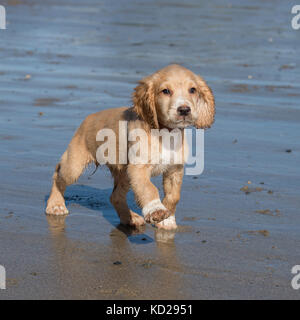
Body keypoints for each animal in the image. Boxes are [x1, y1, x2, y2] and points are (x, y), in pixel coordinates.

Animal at [45, 65, 214, 230]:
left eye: (193, 90)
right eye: (165, 91)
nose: (184, 110)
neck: (165, 133)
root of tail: (88, 118)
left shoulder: (174, 169)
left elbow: (174, 196)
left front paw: (167, 220)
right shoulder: (138, 168)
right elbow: (149, 188)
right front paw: (156, 210)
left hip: (124, 174)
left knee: (115, 196)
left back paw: (129, 218)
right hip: (74, 166)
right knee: (58, 174)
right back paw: (55, 205)